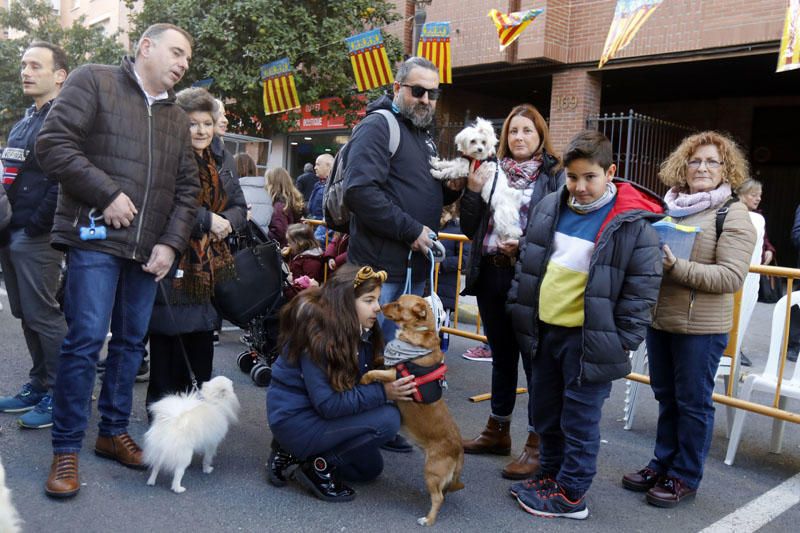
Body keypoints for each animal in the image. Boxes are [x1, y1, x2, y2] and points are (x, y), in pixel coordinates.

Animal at [360, 294, 466, 524]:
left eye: (399, 305)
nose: (380, 306)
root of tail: (459, 449)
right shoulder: (389, 365)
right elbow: (381, 359)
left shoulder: (395, 376)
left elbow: (373, 373)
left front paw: (363, 379)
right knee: (442, 493)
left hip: (431, 471)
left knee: (438, 498)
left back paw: (428, 520)